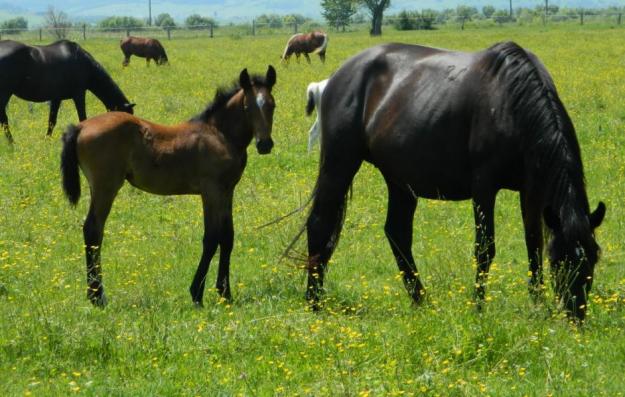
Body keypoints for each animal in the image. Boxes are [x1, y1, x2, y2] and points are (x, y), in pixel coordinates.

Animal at [0, 38, 134, 143]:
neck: (82, 61)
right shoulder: (79, 94)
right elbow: (82, 118)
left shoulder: (56, 98)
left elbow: (52, 121)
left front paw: (47, 140)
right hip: (5, 94)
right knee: (4, 120)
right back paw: (12, 143)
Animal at [60, 65, 276, 306]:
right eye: (247, 107)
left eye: (272, 105)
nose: (265, 144)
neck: (219, 133)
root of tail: (79, 127)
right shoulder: (211, 191)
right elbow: (211, 238)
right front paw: (197, 293)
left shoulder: (227, 190)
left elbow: (227, 237)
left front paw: (225, 292)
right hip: (105, 187)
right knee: (93, 229)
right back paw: (97, 296)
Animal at [298, 41, 604, 318]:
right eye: (560, 260)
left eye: (593, 257)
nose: (576, 313)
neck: (513, 104)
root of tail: (333, 79)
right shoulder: (484, 187)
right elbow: (485, 248)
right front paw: (478, 307)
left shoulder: (531, 191)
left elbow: (534, 245)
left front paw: (537, 305)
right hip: (339, 164)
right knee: (319, 224)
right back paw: (314, 301)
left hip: (400, 181)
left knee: (397, 233)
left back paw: (421, 300)